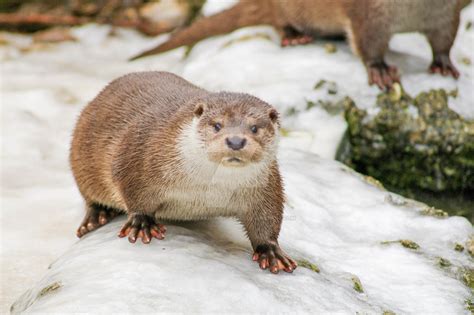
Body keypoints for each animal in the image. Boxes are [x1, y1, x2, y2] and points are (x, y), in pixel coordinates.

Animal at [69, 71, 296, 274]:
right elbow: (131, 190)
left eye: (255, 128)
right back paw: (97, 216)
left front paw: (271, 251)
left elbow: (267, 217)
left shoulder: (266, 186)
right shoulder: (138, 157)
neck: (208, 189)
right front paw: (142, 223)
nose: (235, 141)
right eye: (217, 125)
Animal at [131, 0, 466, 89]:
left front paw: (444, 65)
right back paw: (295, 35)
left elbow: (444, 41)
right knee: (278, 21)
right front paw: (381, 70)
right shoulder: (370, 15)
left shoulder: (446, 13)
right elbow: (369, 44)